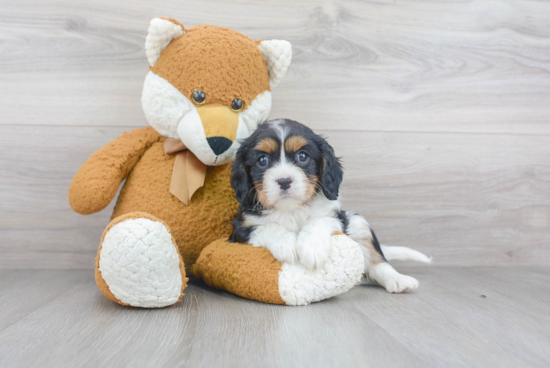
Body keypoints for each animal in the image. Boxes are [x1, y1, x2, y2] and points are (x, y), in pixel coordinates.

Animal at [231, 119, 434, 294]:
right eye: (262, 160)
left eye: (302, 156)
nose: (284, 181)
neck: (292, 209)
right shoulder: (240, 229)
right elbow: (268, 226)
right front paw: (285, 243)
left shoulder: (336, 217)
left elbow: (318, 221)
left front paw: (312, 248)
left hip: (358, 223)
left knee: (377, 261)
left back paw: (398, 280)